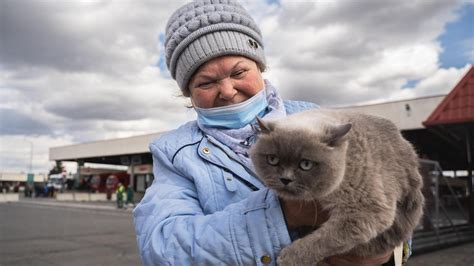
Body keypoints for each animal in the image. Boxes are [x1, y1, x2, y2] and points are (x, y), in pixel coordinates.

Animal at [250, 108, 424, 266]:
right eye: (273, 160)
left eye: (305, 164)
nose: (285, 179)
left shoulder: (367, 211)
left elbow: (323, 239)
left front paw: (288, 258)